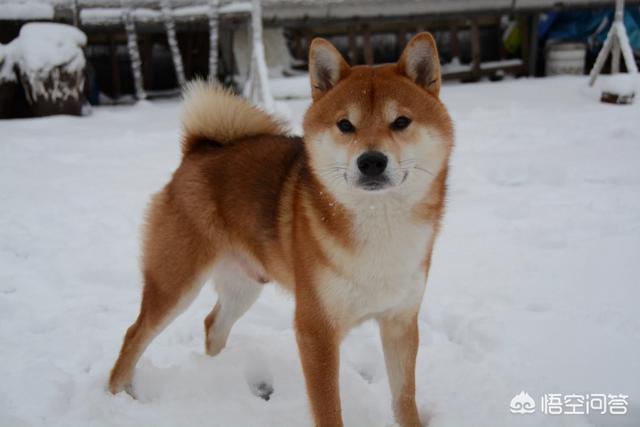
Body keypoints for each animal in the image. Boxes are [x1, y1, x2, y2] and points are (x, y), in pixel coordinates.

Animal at [109, 32, 450, 427]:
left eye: (401, 122)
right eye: (345, 125)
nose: (371, 161)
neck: (379, 225)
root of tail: (198, 151)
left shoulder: (400, 322)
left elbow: (403, 398)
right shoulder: (315, 329)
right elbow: (329, 409)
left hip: (243, 286)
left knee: (213, 325)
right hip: (175, 282)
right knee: (134, 334)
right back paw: (116, 395)